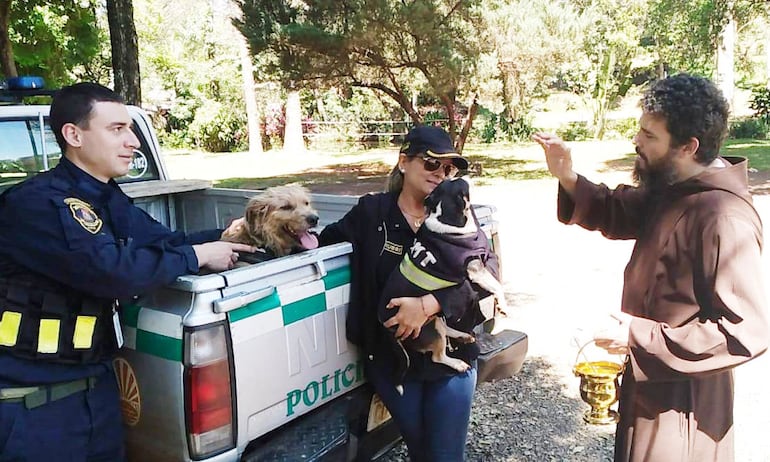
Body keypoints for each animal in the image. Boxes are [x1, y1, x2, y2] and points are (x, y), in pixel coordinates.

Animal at [376, 177, 508, 394]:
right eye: (463, 186)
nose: (466, 174)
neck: (445, 216)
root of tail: (388, 329)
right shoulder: (476, 268)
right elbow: (497, 285)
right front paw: (504, 306)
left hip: (435, 319)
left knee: (446, 328)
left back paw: (463, 336)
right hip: (430, 329)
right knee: (438, 355)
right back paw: (458, 363)